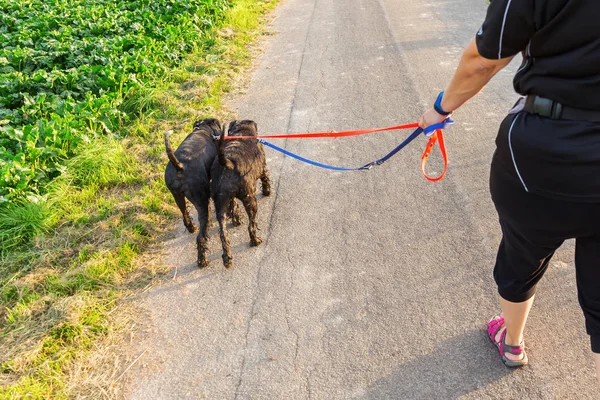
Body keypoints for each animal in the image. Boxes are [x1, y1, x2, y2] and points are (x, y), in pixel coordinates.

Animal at [164, 119, 223, 268]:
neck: (204, 129)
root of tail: (179, 166)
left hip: (177, 196)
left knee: (185, 213)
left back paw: (192, 228)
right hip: (200, 200)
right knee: (201, 237)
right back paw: (202, 260)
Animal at [211, 120, 272, 268]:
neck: (242, 132)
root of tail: (228, 164)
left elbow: (234, 206)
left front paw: (236, 219)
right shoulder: (263, 169)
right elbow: (266, 179)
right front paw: (267, 192)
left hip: (220, 202)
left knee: (223, 233)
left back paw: (227, 258)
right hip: (250, 199)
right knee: (251, 225)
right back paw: (255, 241)